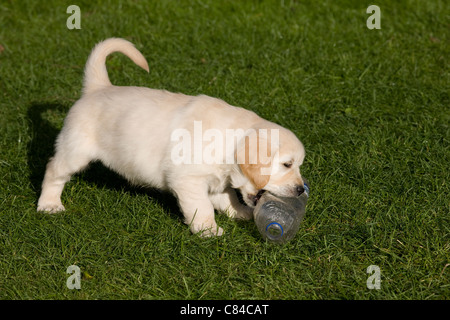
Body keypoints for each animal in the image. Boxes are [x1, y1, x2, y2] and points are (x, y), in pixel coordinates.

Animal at [37, 38, 306, 236]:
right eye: (287, 164)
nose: (301, 189)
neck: (228, 142)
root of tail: (98, 87)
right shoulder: (188, 179)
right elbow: (202, 207)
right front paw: (208, 230)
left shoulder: (214, 180)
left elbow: (226, 197)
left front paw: (239, 212)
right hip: (75, 150)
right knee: (53, 170)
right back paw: (49, 204)